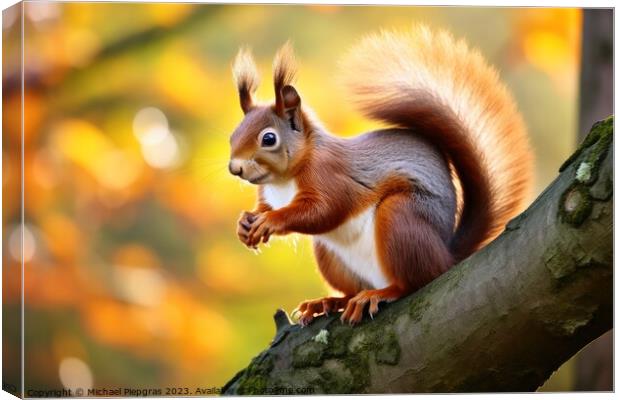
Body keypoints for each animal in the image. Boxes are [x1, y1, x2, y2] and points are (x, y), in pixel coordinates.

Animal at [228, 24, 532, 324]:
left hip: (401, 219)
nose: (235, 168)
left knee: (416, 280)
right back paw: (329, 302)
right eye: (233, 134)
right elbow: (267, 208)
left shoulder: (330, 176)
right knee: (352, 289)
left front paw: (272, 221)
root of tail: (447, 256)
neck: (283, 181)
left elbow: (325, 210)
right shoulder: (268, 193)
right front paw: (245, 223)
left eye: (269, 139)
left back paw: (381, 294)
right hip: (330, 256)